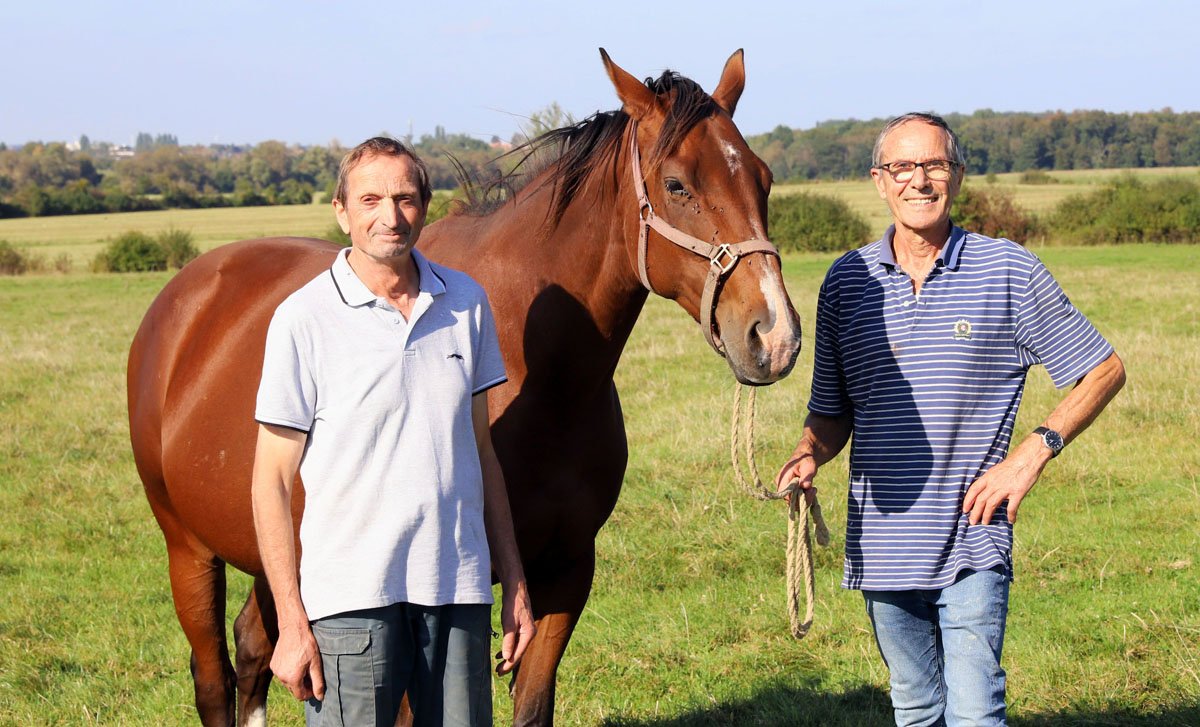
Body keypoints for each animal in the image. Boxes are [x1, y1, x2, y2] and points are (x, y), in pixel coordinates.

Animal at [127, 49, 802, 726]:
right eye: (677, 185)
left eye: (765, 179)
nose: (775, 336)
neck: (545, 383)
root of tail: (184, 296)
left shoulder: (564, 573)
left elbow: (532, 705)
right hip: (188, 549)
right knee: (214, 678)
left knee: (255, 647)